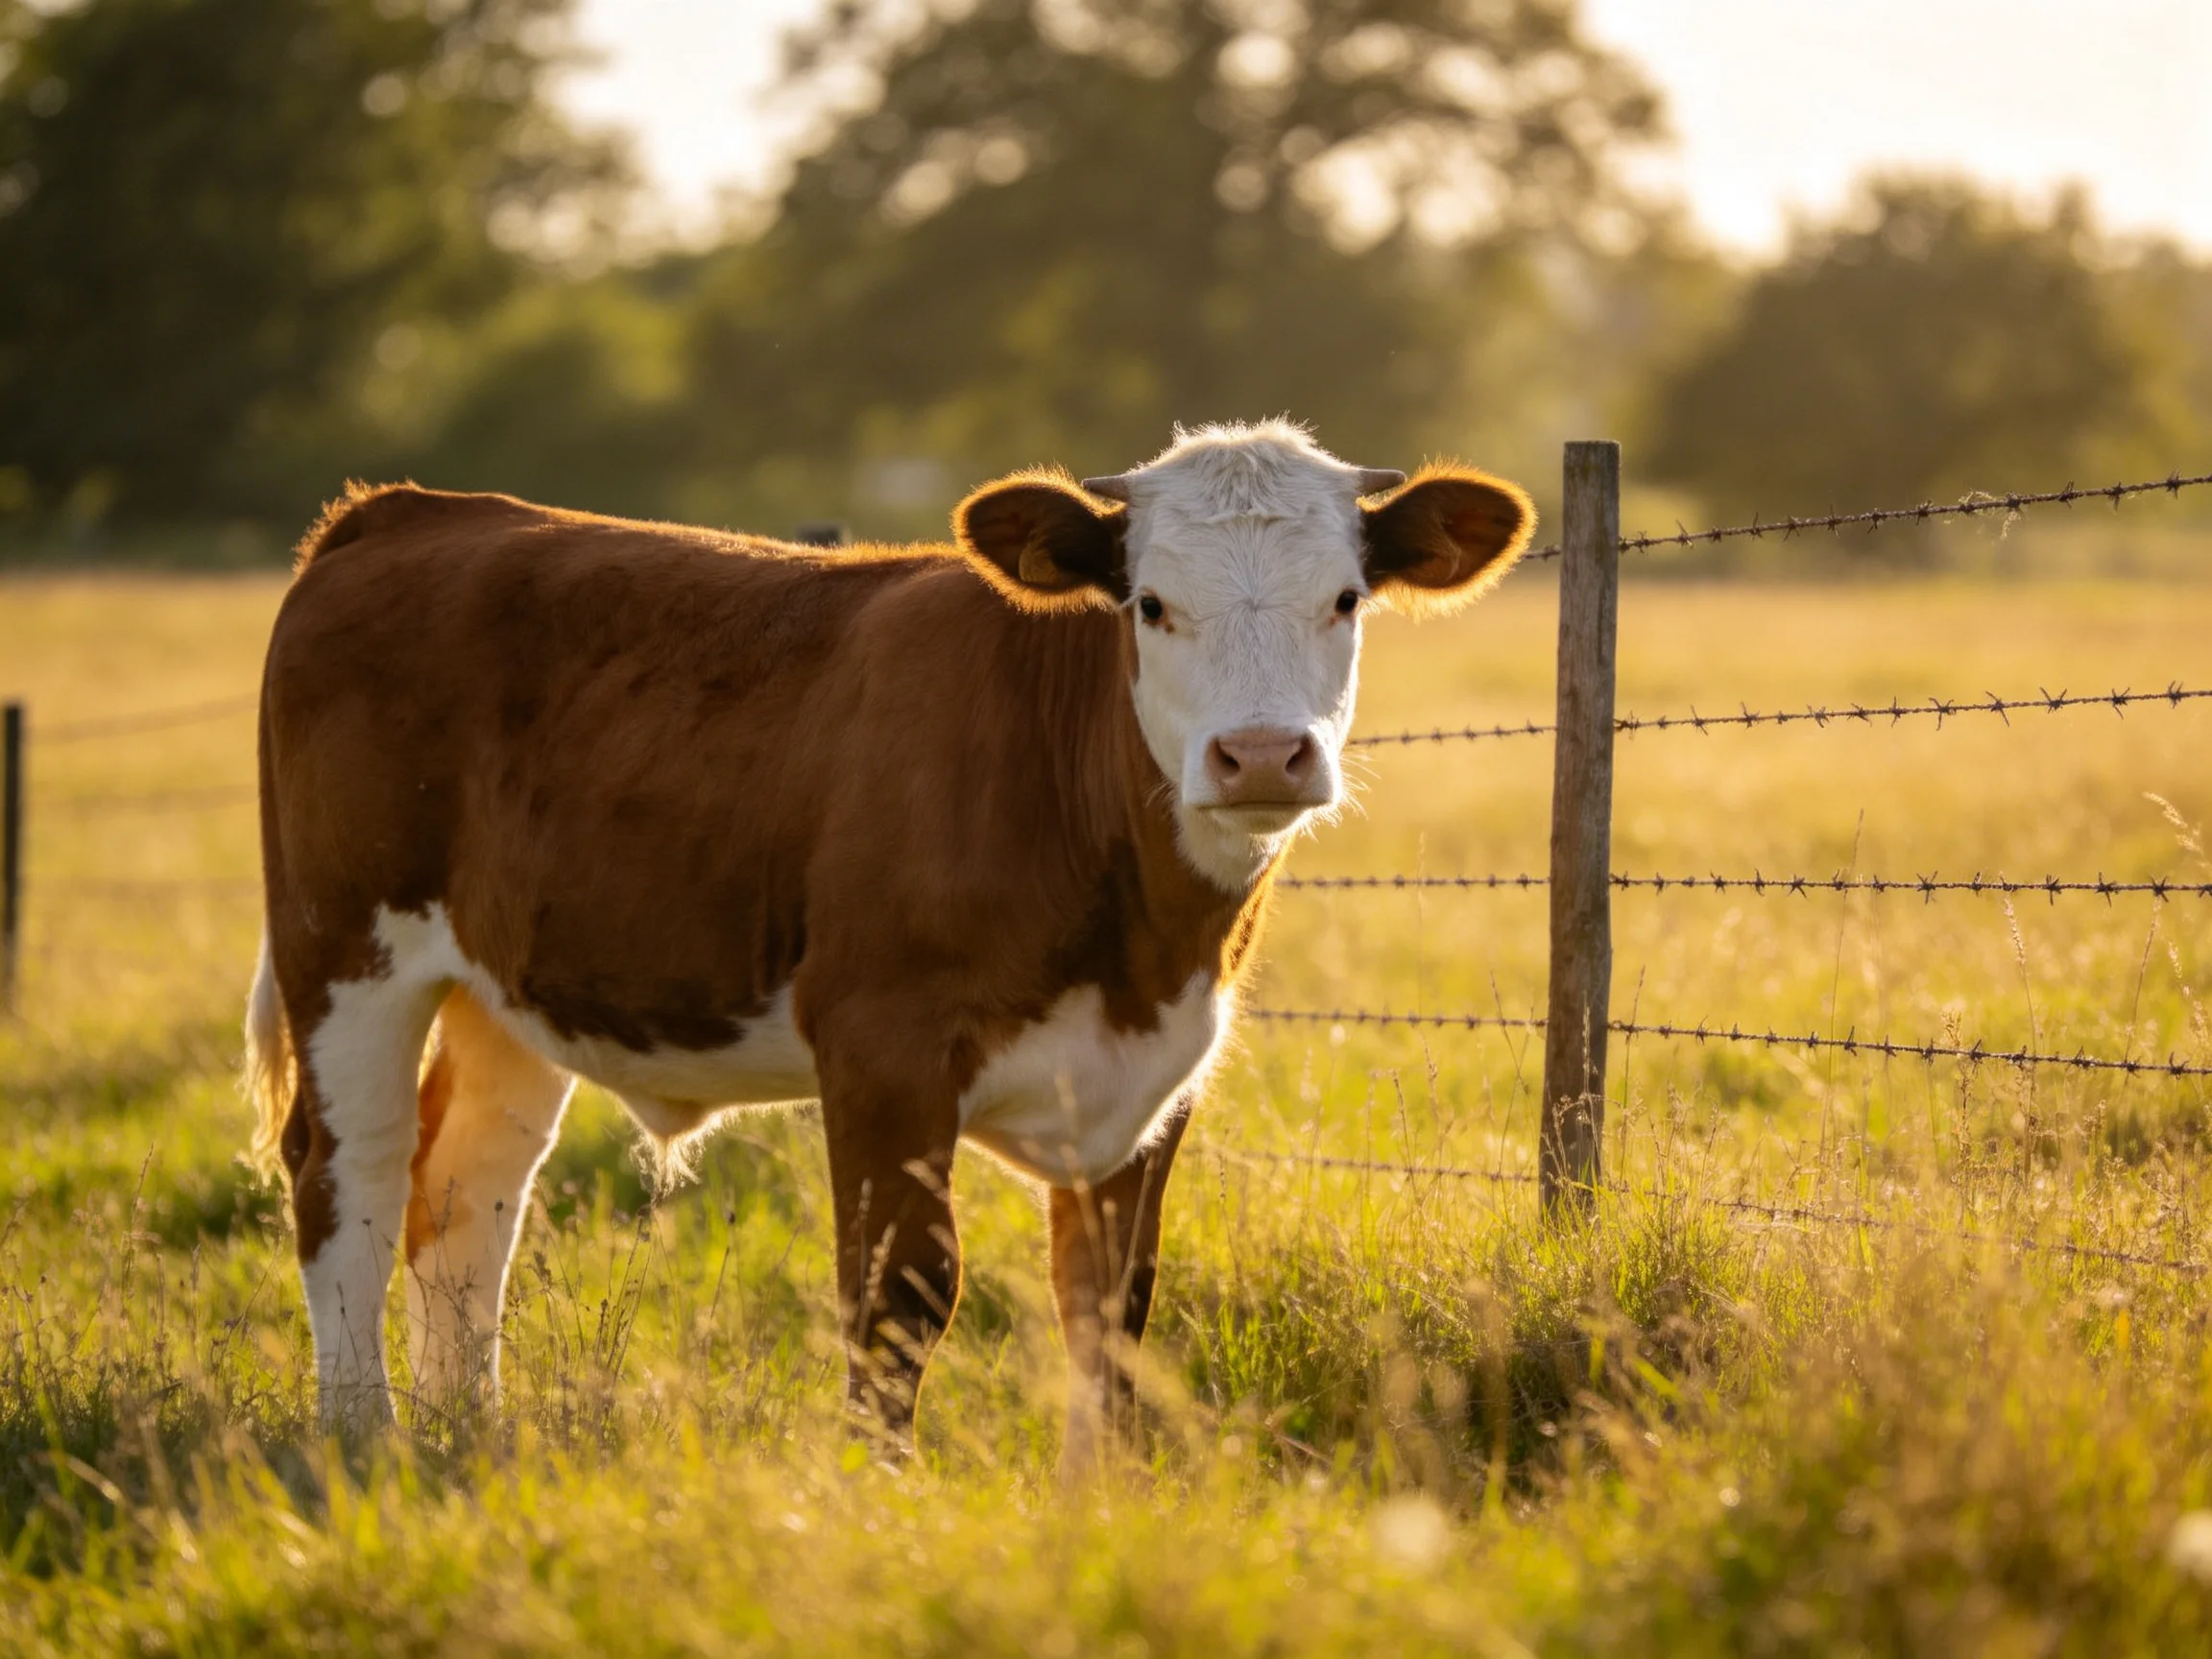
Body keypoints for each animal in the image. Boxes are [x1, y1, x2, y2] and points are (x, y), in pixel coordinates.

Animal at [242, 418, 1533, 1464]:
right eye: (1151, 604)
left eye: (1347, 599)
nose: (1261, 754)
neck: (1140, 939)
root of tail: (408, 509)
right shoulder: (881, 1048)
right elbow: (900, 1294)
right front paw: (880, 1495)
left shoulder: (1158, 1076)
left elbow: (1108, 1309)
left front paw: (1099, 1502)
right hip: (343, 950)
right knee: (348, 1174)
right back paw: (364, 1437)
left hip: (504, 986)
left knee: (466, 1194)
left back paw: (469, 1432)